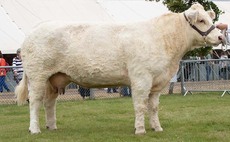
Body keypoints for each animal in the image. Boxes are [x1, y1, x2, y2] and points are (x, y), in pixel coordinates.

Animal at [15, 2, 225, 135]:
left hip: (55, 78)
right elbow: (140, 105)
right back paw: (35, 129)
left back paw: (52, 127)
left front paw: (157, 128)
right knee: (35, 102)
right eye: (201, 21)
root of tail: (35, 29)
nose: (221, 37)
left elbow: (154, 107)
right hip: (38, 75)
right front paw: (140, 130)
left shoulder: (157, 82)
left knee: (49, 103)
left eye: (209, 19)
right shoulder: (141, 78)